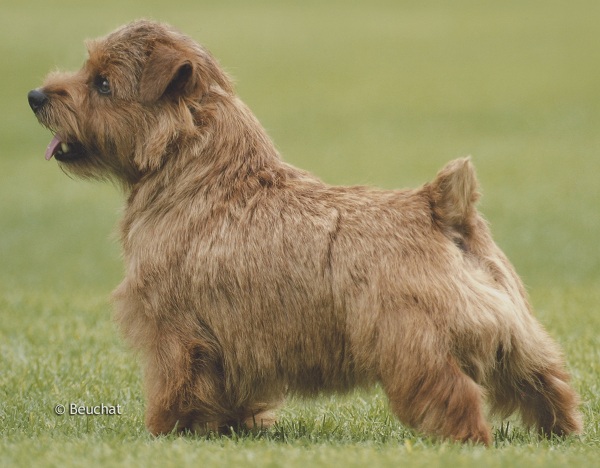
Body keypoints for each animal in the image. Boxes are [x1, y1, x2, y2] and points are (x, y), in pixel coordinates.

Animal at [28, 20, 580, 444]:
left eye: (102, 83)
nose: (35, 95)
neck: (202, 175)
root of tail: (442, 206)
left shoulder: (171, 327)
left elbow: (172, 385)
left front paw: (162, 433)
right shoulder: (226, 344)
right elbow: (226, 393)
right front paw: (235, 427)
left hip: (409, 345)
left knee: (456, 392)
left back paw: (466, 441)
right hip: (517, 336)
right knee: (548, 379)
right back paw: (563, 432)